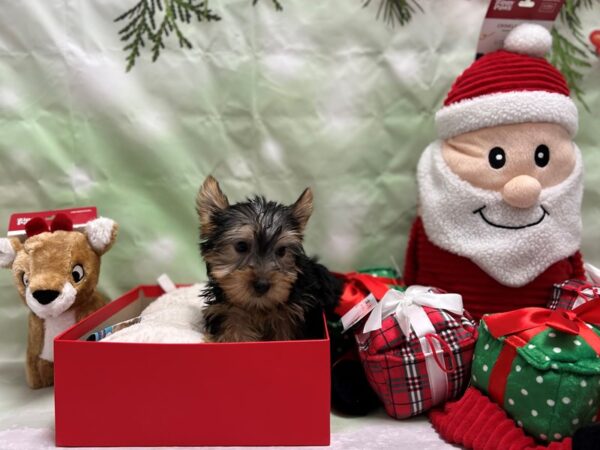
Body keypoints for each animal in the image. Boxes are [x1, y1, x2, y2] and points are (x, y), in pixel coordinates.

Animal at [195, 176, 340, 342]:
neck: (257, 306)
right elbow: (236, 333)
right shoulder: (227, 312)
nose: (262, 285)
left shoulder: (292, 315)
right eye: (241, 246)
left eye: (281, 251)